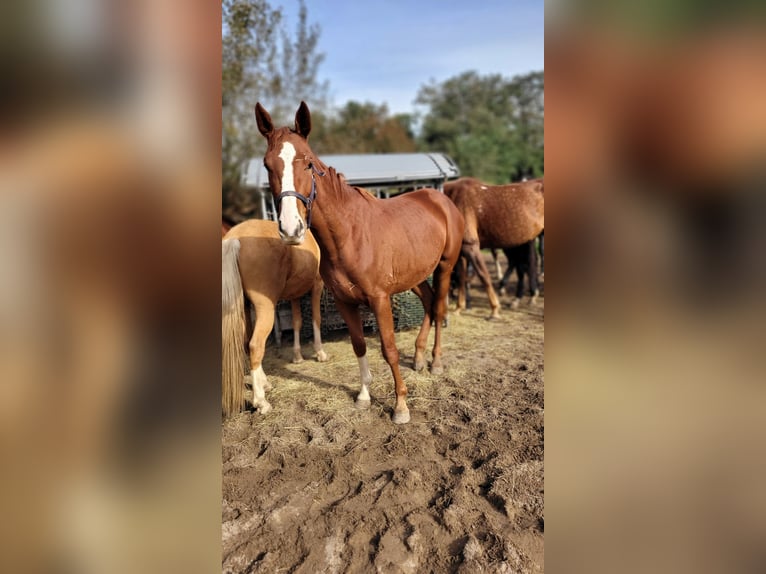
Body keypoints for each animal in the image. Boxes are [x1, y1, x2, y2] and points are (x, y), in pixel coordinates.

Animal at [222, 219, 328, 416]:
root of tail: (234, 238)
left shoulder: (294, 295)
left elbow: (296, 322)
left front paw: (297, 356)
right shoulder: (317, 285)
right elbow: (316, 318)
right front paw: (320, 353)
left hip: (244, 307)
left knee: (247, 343)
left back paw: (264, 384)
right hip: (265, 308)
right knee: (255, 345)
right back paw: (261, 402)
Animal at [254, 101, 465, 424]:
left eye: (308, 163)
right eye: (267, 165)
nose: (291, 230)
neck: (349, 235)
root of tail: (440, 198)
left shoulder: (379, 299)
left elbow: (388, 349)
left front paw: (400, 406)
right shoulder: (345, 301)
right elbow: (359, 345)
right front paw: (364, 396)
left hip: (445, 267)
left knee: (439, 307)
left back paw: (435, 362)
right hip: (416, 276)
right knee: (429, 304)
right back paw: (418, 357)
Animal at [444, 177, 544, 319]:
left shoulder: (471, 246)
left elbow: (483, 275)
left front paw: (494, 310)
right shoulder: (462, 251)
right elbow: (461, 277)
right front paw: (459, 308)